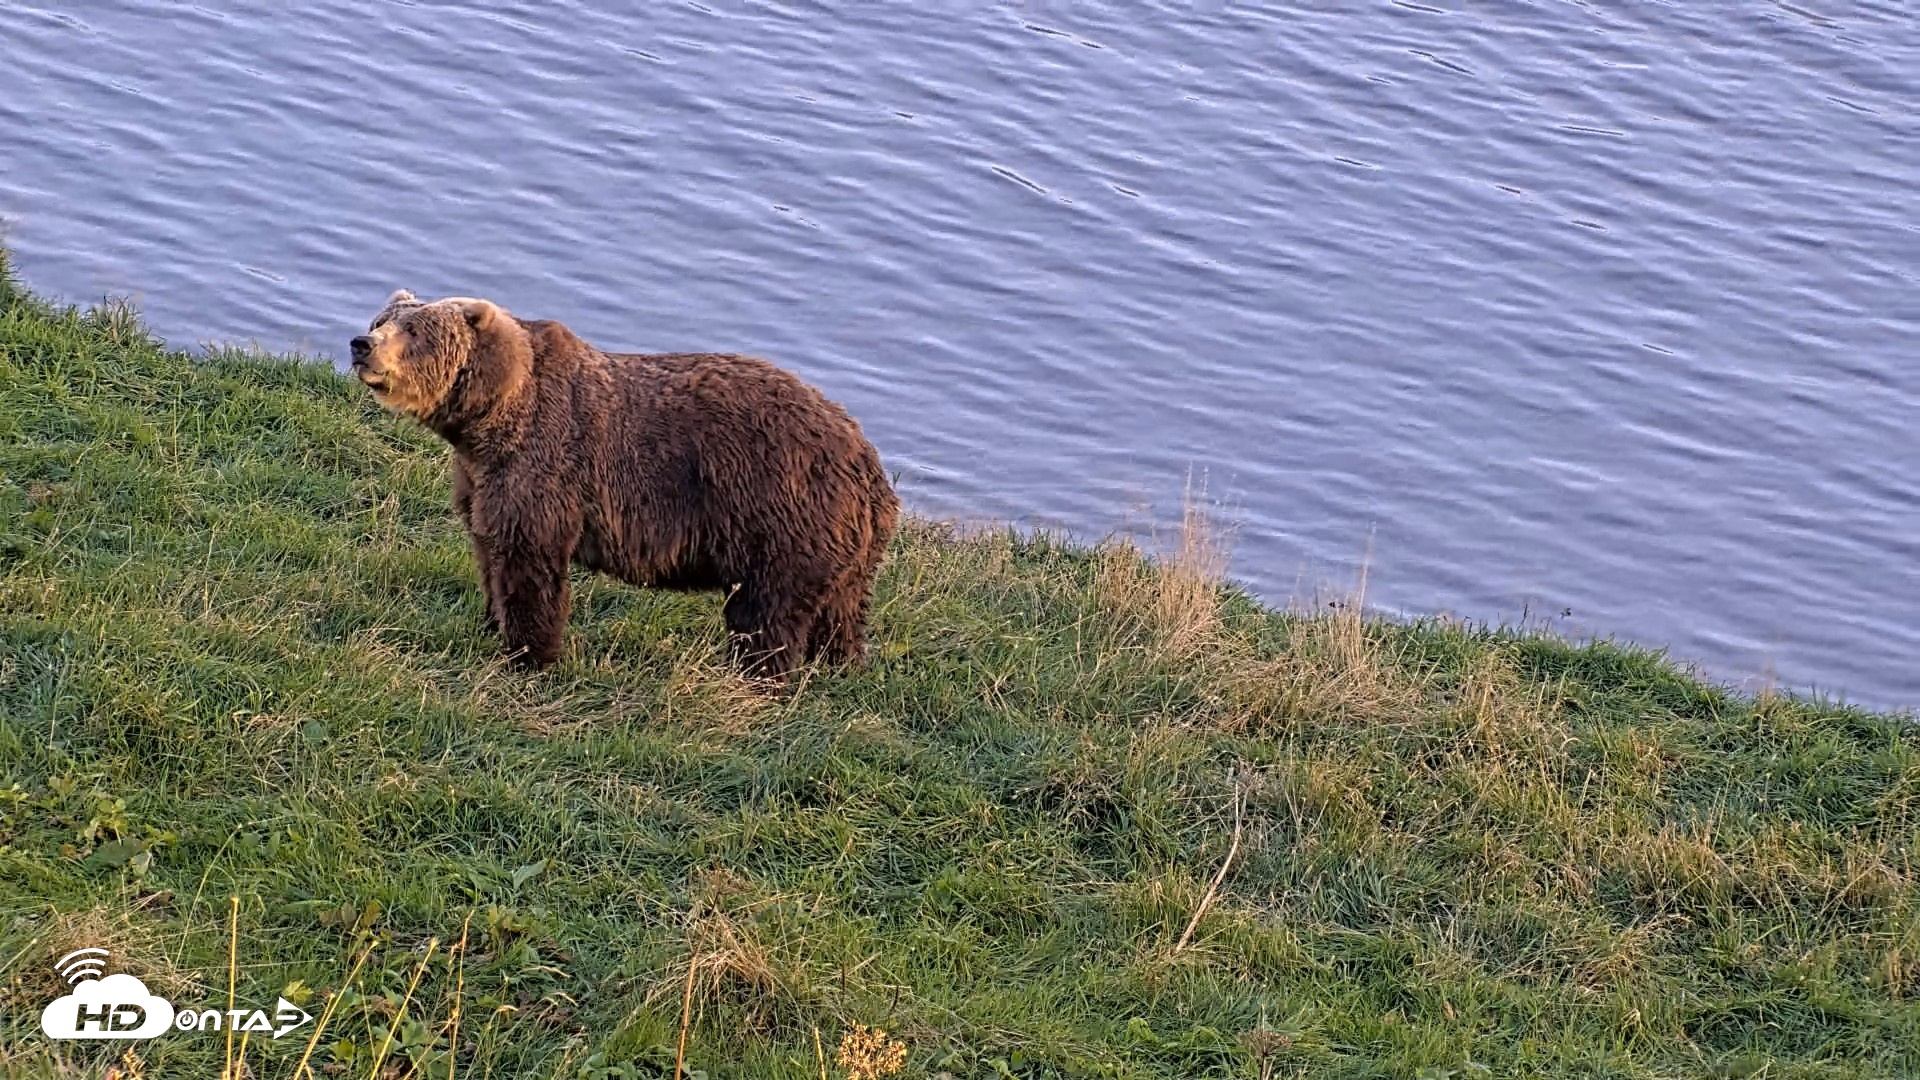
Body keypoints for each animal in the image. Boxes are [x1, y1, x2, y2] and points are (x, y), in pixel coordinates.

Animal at [348, 289, 898, 679]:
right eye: (380, 320)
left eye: (413, 329)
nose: (361, 344)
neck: (492, 415)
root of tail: (871, 468)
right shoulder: (480, 478)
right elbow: (489, 550)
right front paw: (491, 621)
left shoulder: (545, 465)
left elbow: (531, 562)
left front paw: (527, 653)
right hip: (839, 543)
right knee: (840, 611)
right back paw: (840, 663)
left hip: (780, 514)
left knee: (765, 614)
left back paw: (758, 675)